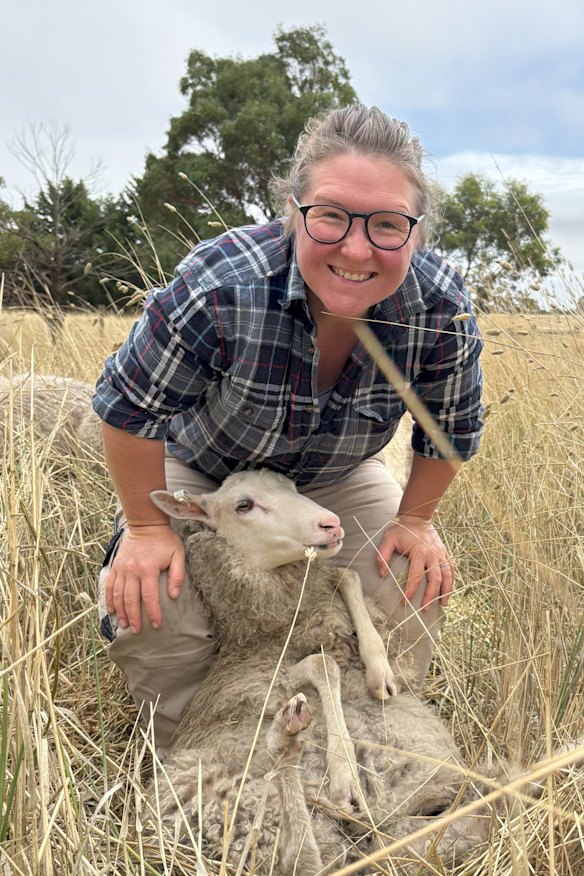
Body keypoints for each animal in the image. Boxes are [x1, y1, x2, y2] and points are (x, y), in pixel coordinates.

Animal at [145, 469, 497, 875]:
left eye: (293, 486)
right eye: (244, 505)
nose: (331, 523)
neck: (266, 631)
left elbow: (347, 577)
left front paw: (378, 667)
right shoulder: (277, 677)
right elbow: (323, 664)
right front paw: (344, 773)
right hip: (238, 806)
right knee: (304, 857)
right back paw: (286, 742)